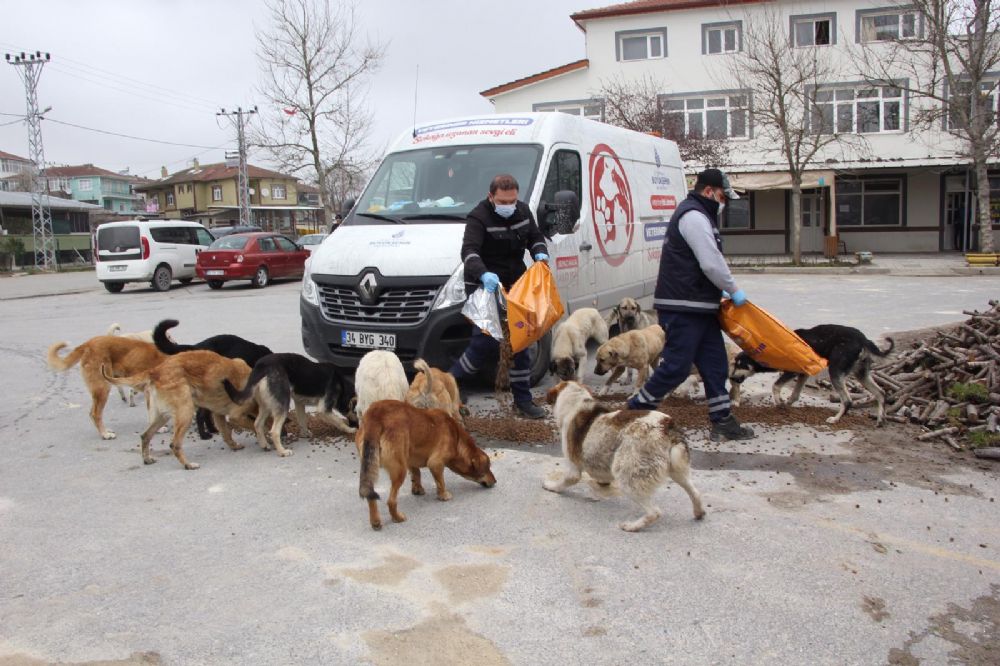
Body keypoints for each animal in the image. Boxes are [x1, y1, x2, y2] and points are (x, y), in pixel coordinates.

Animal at [101, 350, 254, 470]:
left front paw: (234, 445)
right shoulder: (235, 415)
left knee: (145, 435)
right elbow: (251, 425)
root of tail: (155, 371)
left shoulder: (218, 414)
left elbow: (227, 434)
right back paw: (188, 465)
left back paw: (147, 459)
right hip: (186, 412)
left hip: (161, 416)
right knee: (174, 444)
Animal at [223, 352, 356, 456]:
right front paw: (350, 430)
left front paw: (305, 434)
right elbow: (339, 422)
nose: (357, 426)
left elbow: (302, 420)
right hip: (283, 405)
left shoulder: (299, 403)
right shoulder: (323, 409)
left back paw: (264, 445)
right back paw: (282, 451)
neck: (342, 385)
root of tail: (262, 367)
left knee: (257, 424)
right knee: (274, 431)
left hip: (266, 405)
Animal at [360, 400, 500, 528]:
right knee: (391, 501)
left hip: (372, 468)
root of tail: (375, 416)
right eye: (488, 468)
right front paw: (443, 495)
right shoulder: (435, 463)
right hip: (399, 470)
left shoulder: (410, 459)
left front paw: (417, 488)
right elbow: (440, 482)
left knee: (371, 496)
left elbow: (417, 474)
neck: (457, 439)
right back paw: (397, 517)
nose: (495, 481)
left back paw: (375, 521)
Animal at [548, 378, 704, 528]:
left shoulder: (572, 467)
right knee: (695, 493)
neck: (576, 403)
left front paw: (551, 486)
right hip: (678, 470)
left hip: (627, 475)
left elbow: (564, 481)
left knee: (654, 512)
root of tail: (666, 426)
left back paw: (632, 526)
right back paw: (699, 513)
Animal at [728, 322, 900, 426]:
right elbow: (795, 395)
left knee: (848, 400)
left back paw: (835, 419)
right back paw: (880, 419)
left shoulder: (791, 371)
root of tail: (863, 339)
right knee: (881, 392)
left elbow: (775, 386)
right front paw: (786, 405)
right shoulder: (803, 374)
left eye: (739, 365)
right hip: (861, 373)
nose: (731, 377)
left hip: (835, 371)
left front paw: (778, 402)